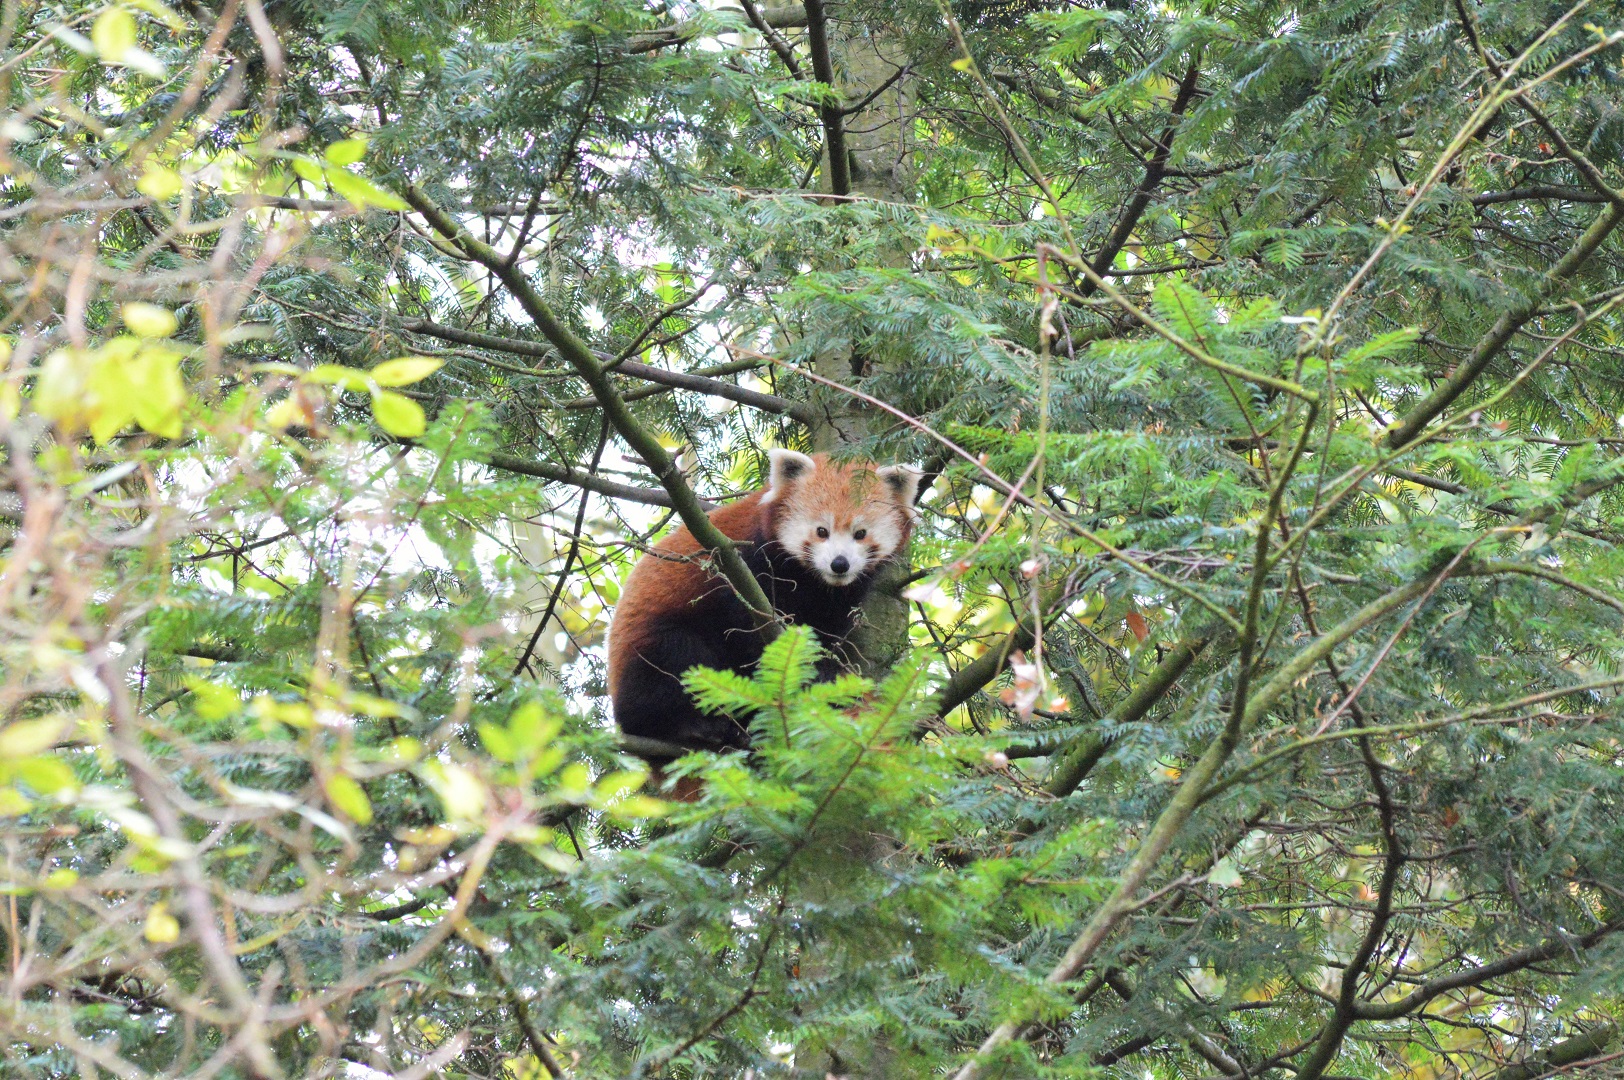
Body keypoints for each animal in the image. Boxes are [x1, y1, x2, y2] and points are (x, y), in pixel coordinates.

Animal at [607, 449, 922, 751]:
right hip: (649, 644)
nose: (839, 564)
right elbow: (747, 632)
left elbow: (823, 634)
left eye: (860, 534)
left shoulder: (836, 601)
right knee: (675, 661)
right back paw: (692, 725)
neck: (814, 582)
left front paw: (825, 678)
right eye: (822, 531)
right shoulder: (743, 569)